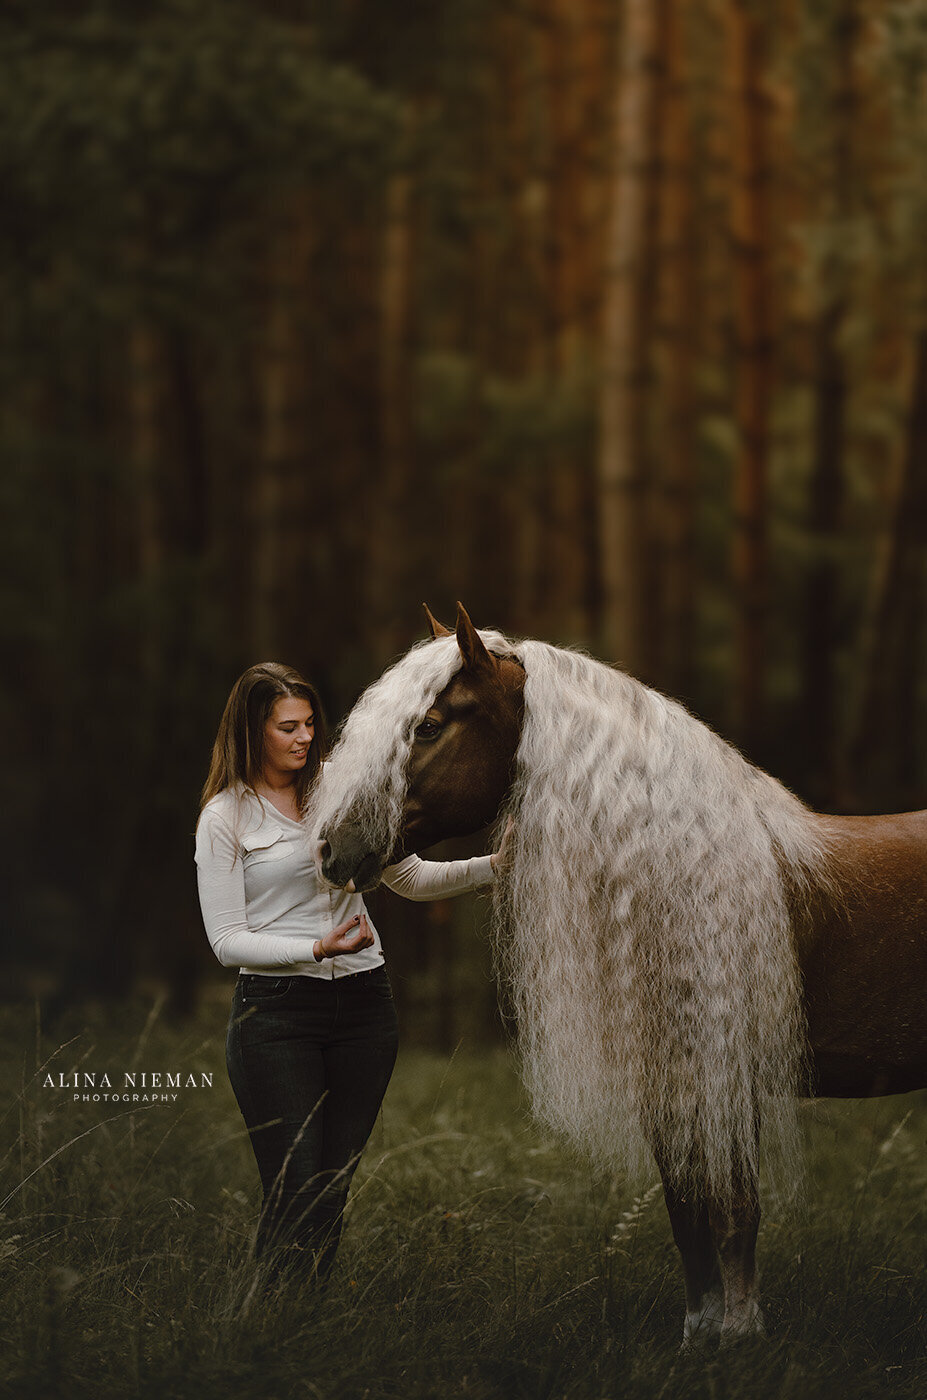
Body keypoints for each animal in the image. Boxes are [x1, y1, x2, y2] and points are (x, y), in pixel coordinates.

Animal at [312, 602, 927, 1344]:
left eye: (429, 725)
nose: (332, 848)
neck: (690, 871)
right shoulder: (671, 1080)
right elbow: (688, 1212)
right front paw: (701, 1335)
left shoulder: (723, 1073)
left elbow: (733, 1210)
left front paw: (739, 1334)